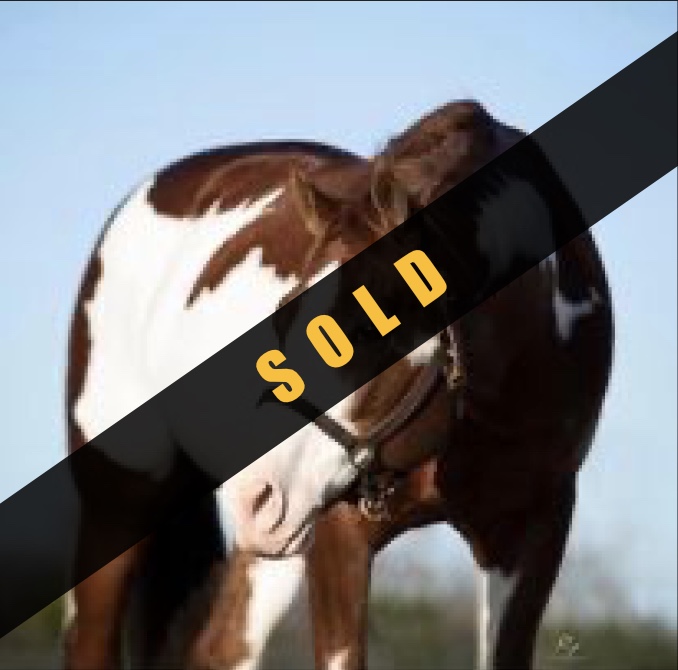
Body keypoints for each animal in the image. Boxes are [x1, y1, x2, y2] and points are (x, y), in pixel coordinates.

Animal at [65, 101, 616, 670]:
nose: (257, 494)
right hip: (123, 504)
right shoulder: (338, 534)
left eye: (367, 328)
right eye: (282, 318)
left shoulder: (535, 532)